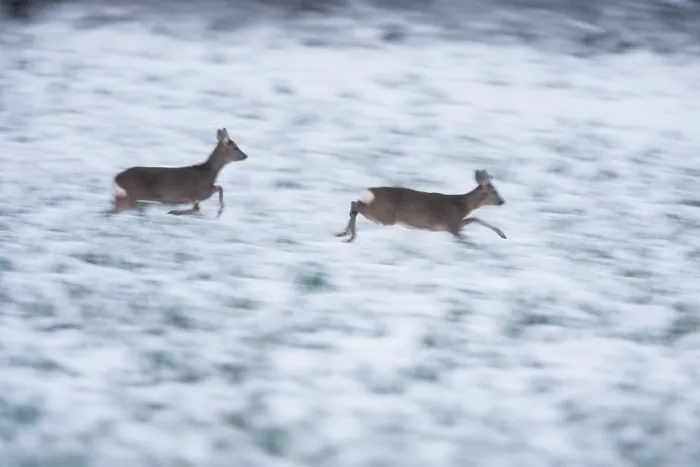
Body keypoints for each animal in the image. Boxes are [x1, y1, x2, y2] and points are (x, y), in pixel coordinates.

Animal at [106, 128, 248, 218]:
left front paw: (175, 212)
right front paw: (220, 211)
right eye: (235, 147)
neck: (208, 172)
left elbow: (198, 206)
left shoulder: (195, 197)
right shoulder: (201, 192)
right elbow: (219, 188)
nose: (245, 155)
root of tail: (116, 179)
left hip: (124, 197)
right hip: (133, 195)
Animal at [335, 169, 507, 243]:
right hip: (385, 216)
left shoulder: (452, 224)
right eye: (494, 191)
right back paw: (351, 236)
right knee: (357, 205)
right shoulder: (452, 225)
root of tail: (370, 191)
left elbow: (475, 218)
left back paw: (343, 233)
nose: (502, 201)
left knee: (354, 203)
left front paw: (502, 234)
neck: (462, 205)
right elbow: (467, 230)